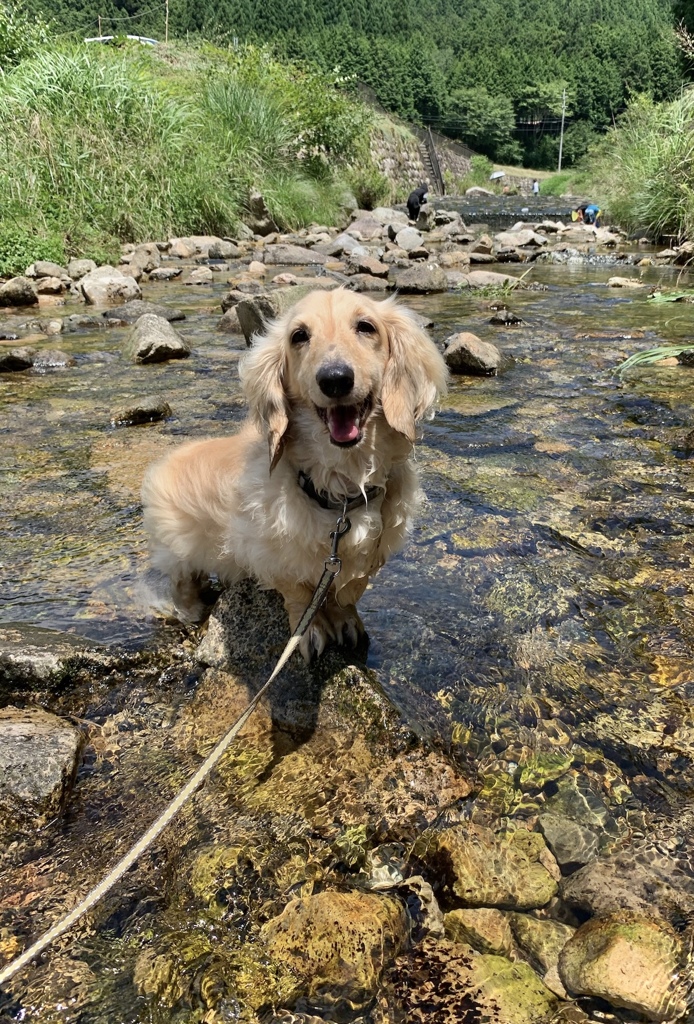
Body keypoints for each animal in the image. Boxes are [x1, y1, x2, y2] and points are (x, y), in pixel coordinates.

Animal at [142, 286, 448, 663]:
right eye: (299, 336)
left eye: (366, 326)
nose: (335, 379)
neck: (342, 487)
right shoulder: (271, 553)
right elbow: (299, 592)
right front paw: (310, 630)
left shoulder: (367, 555)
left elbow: (348, 589)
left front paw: (345, 619)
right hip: (178, 544)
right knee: (183, 581)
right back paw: (190, 609)